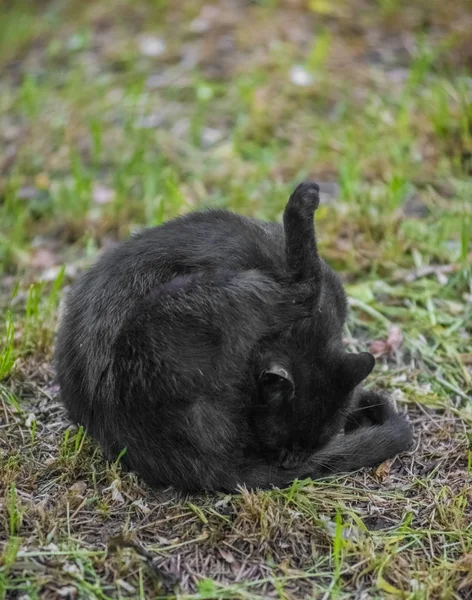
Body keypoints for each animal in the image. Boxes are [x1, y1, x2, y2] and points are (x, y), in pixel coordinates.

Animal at [54, 180, 410, 490]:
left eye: (314, 445)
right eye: (279, 442)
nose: (289, 463)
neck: (309, 328)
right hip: (194, 297)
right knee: (302, 287)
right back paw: (303, 202)